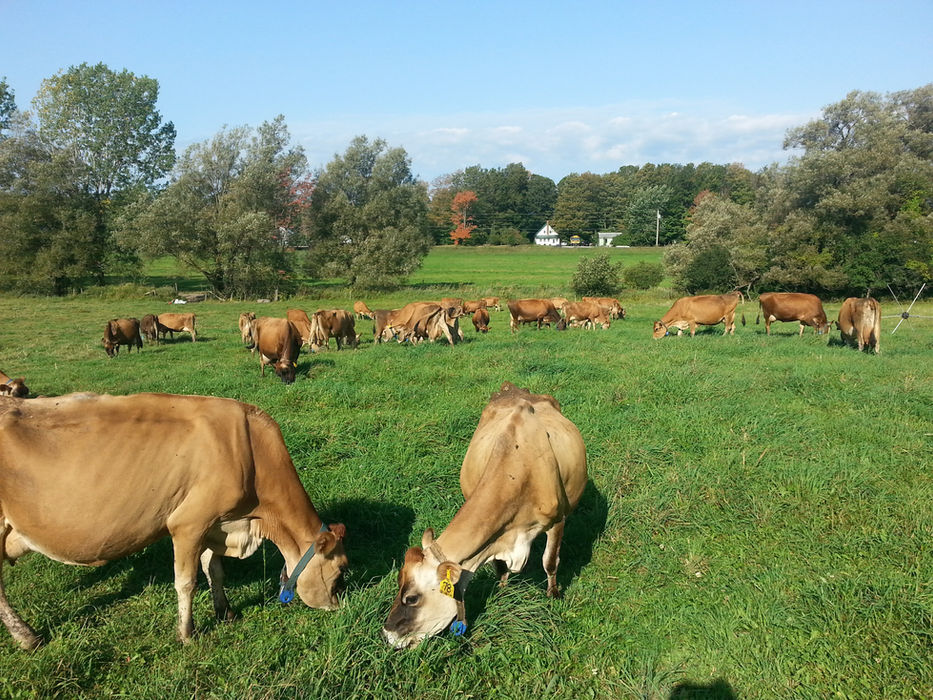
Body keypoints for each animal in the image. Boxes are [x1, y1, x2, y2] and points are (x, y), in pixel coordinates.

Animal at [0, 392, 348, 649]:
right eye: (341, 571)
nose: (339, 606)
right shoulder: (187, 524)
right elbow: (186, 582)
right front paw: (187, 634)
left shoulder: (213, 523)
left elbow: (214, 570)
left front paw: (225, 611)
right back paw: (27, 637)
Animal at [383, 382, 587, 649]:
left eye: (411, 598)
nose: (386, 634)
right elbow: (499, 566)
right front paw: (502, 588)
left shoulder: (557, 520)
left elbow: (550, 562)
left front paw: (553, 594)